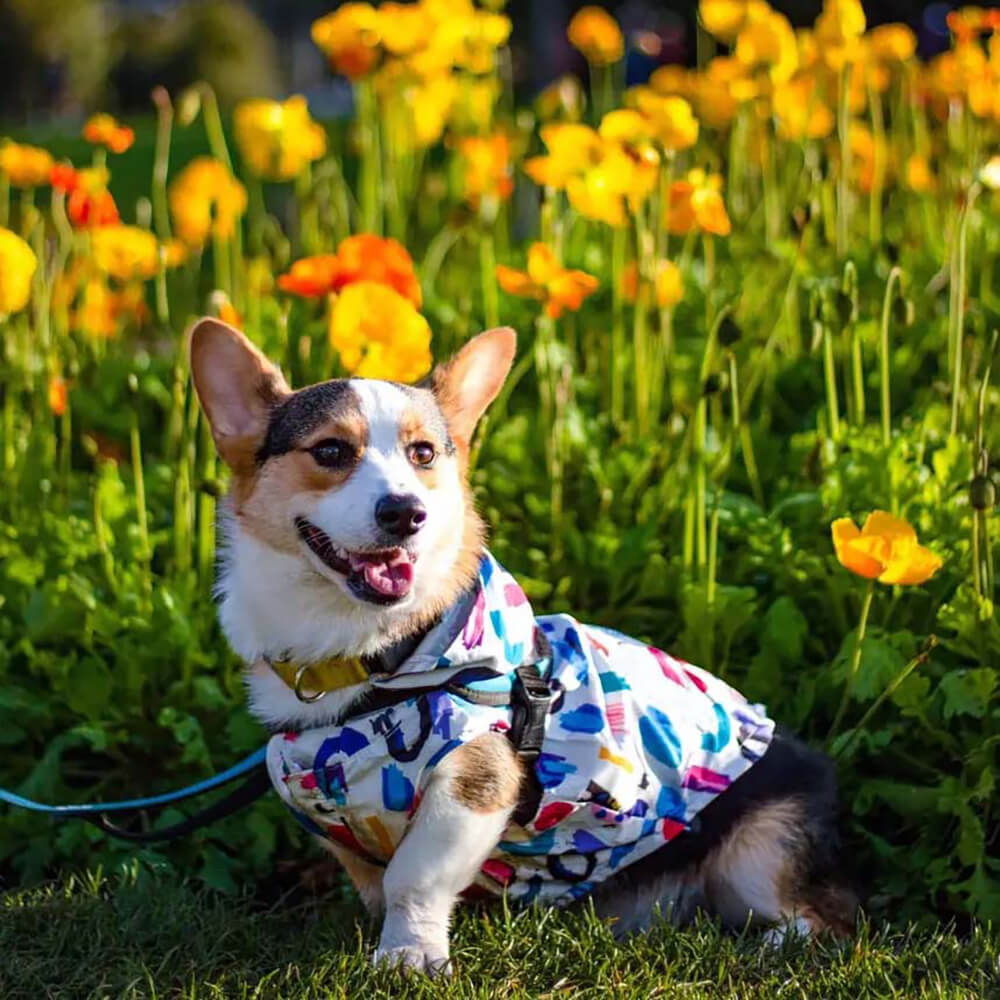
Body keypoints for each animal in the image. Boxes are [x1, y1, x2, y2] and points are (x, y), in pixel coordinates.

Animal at [191, 320, 856, 976]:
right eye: (330, 451)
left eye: (423, 454)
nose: (407, 513)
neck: (374, 657)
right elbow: (378, 883)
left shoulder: (474, 782)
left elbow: (415, 878)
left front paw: (410, 955)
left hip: (760, 850)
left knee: (824, 920)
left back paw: (765, 946)